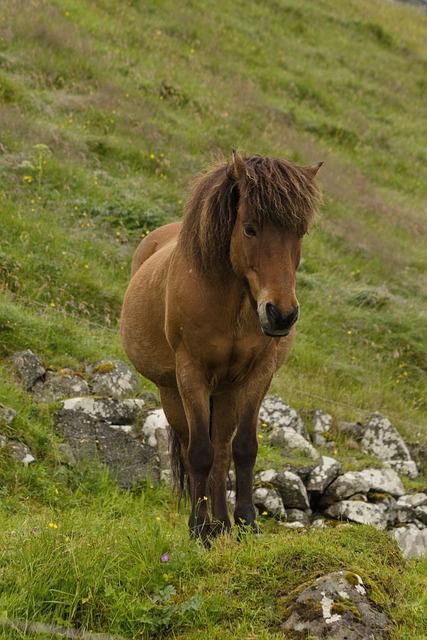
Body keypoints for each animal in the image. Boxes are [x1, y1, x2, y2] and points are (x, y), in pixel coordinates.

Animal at [120, 150, 322, 543]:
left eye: (300, 233)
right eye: (250, 228)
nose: (281, 315)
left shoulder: (258, 376)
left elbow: (244, 449)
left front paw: (246, 524)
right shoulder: (191, 375)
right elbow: (199, 453)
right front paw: (199, 531)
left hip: (226, 391)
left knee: (223, 452)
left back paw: (224, 525)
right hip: (172, 392)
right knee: (192, 450)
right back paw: (210, 527)